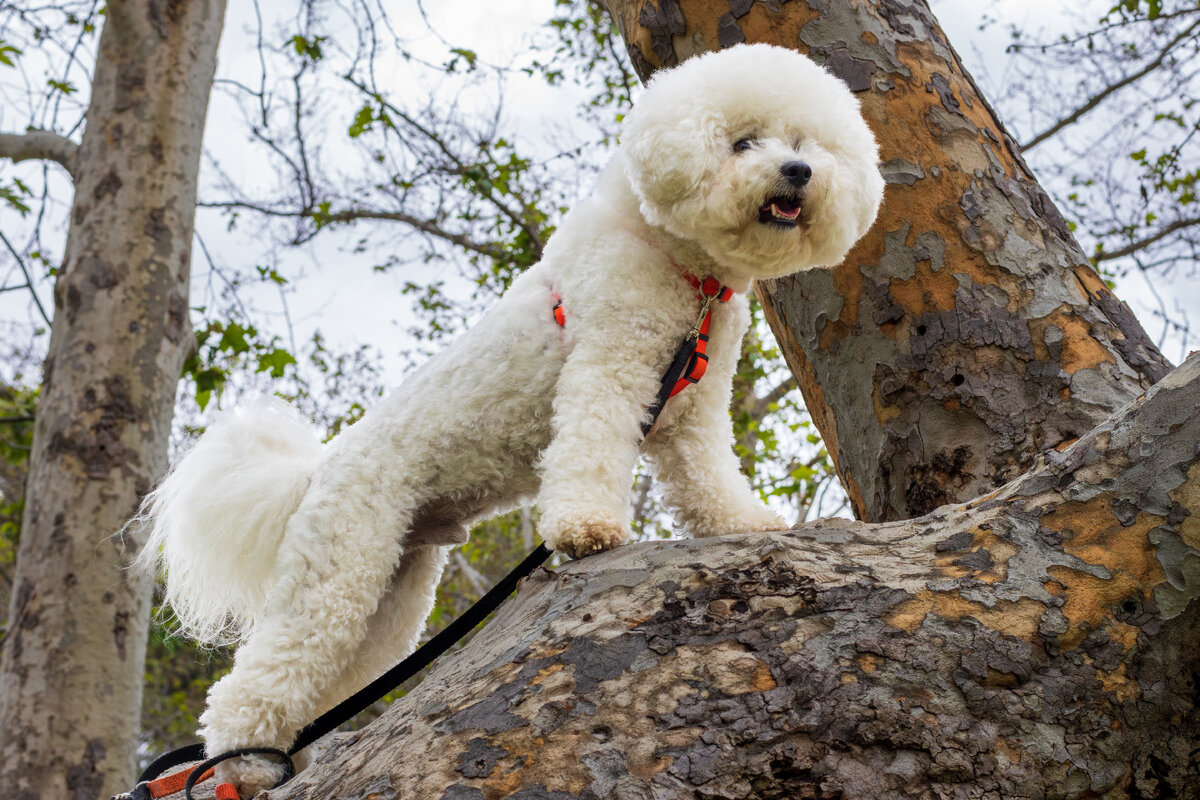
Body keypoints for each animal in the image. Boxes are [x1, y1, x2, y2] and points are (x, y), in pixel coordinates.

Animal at [138, 43, 883, 796]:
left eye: (804, 143)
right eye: (742, 141)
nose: (798, 172)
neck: (680, 265)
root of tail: (320, 468)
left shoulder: (692, 411)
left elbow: (706, 474)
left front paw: (743, 521)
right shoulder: (609, 366)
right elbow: (590, 448)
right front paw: (587, 530)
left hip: (390, 597)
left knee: (330, 676)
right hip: (338, 565)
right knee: (255, 678)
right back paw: (240, 768)